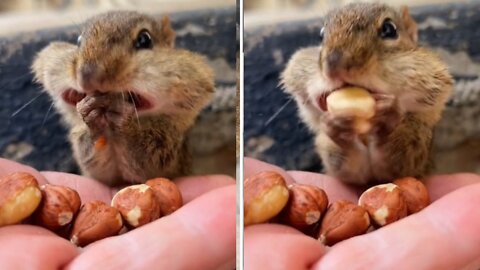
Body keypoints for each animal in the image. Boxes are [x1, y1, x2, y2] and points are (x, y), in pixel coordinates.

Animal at [31, 11, 215, 186]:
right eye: (78, 41)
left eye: (145, 40)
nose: (88, 77)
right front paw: (88, 113)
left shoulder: (168, 154)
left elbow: (149, 166)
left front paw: (123, 117)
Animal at [280, 2, 452, 186]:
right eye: (321, 35)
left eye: (389, 29)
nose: (334, 64)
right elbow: (351, 168)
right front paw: (339, 131)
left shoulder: (415, 144)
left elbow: (394, 164)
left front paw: (386, 121)